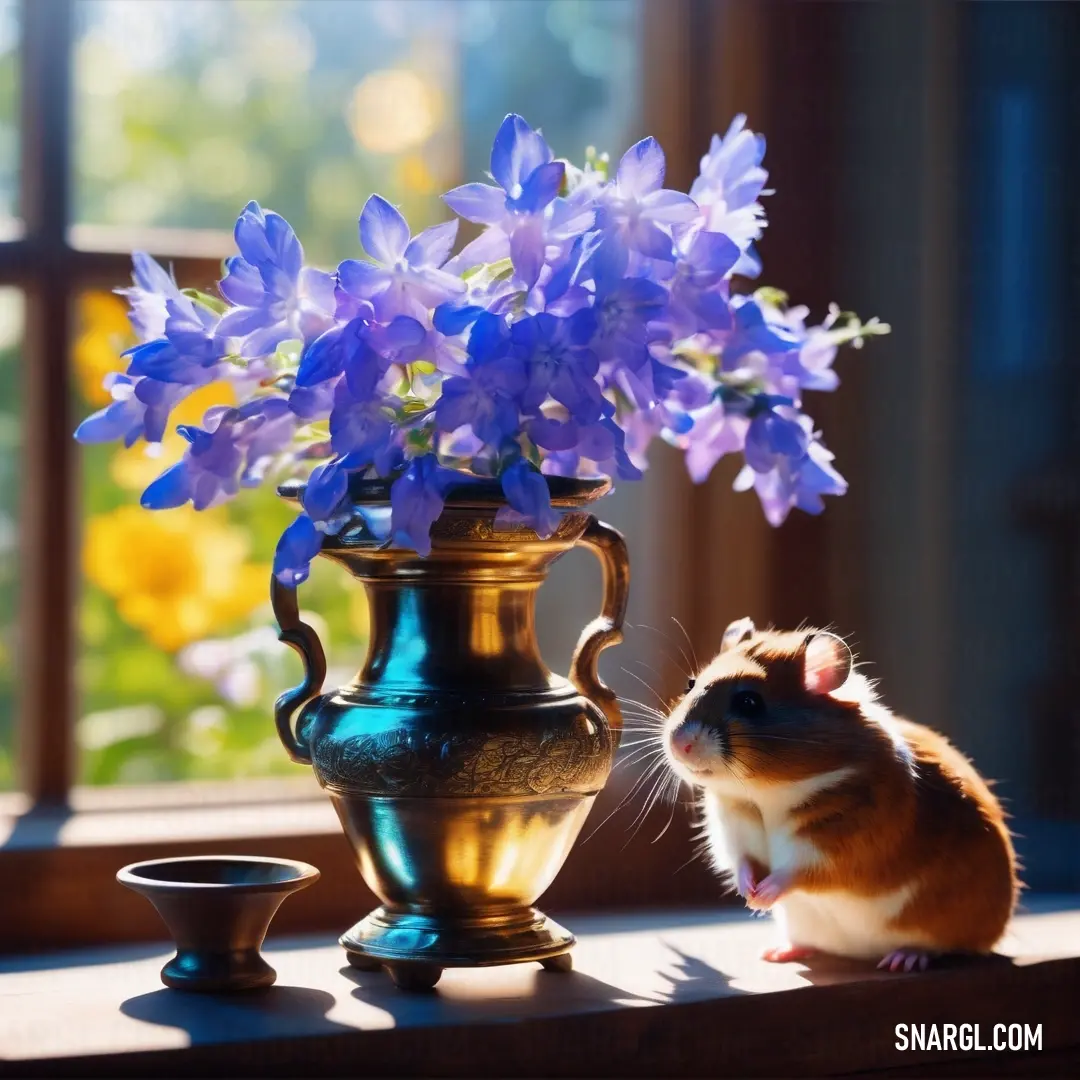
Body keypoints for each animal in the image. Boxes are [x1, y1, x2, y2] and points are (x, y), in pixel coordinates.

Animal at [660, 617, 1015, 972]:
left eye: (749, 702)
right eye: (690, 684)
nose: (679, 744)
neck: (766, 792)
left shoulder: (838, 849)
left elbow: (793, 873)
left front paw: (761, 897)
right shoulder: (736, 834)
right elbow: (744, 865)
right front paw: (751, 896)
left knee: (938, 947)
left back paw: (901, 960)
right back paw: (778, 952)